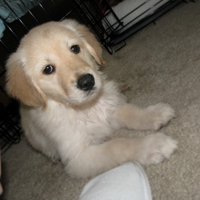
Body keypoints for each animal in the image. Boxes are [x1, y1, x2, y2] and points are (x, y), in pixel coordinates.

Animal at [5, 19, 177, 178]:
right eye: (48, 69)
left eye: (75, 48)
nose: (87, 82)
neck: (84, 108)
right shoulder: (79, 157)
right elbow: (117, 146)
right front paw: (153, 145)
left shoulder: (109, 110)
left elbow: (130, 112)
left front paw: (155, 114)